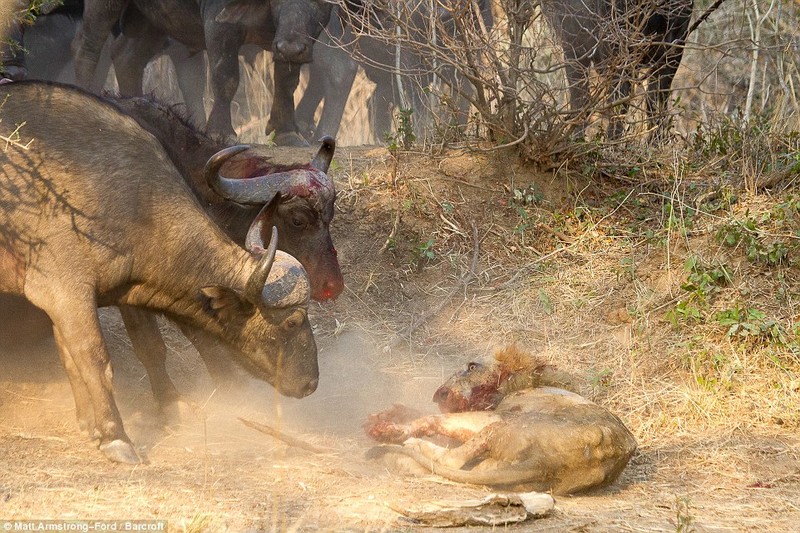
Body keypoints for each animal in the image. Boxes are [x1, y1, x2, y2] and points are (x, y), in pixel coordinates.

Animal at [0, 81, 318, 464]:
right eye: (292, 322)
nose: (311, 383)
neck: (131, 202)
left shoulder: (113, 292)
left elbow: (123, 350)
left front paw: (96, 423)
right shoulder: (66, 293)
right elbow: (94, 359)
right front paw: (114, 436)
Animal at [364, 344, 636, 494]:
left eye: (471, 367)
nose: (438, 393)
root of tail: (548, 463)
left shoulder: (492, 413)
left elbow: (432, 419)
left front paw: (390, 427)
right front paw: (388, 414)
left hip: (502, 424)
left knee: (450, 461)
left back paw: (402, 445)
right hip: (498, 469)